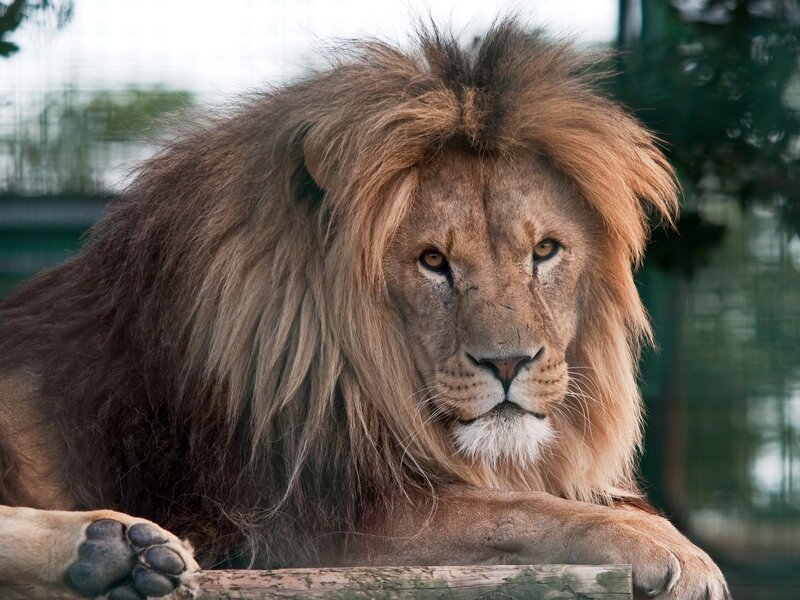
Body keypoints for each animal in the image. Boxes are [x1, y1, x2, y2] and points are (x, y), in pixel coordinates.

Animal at [0, 19, 729, 600]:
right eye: (433, 261)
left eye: (545, 251)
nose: (509, 364)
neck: (367, 380)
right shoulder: (304, 523)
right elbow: (520, 510)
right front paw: (675, 553)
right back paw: (116, 549)